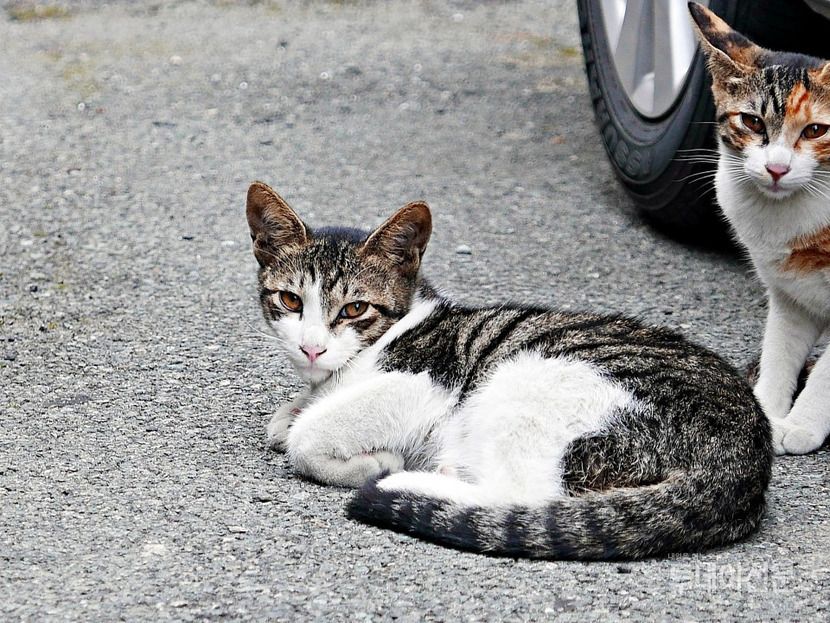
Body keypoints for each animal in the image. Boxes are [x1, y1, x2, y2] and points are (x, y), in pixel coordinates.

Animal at [246, 180, 771, 560]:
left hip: (529, 381)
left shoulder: (422, 382)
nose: (312, 348)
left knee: (523, 495)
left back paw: (417, 482)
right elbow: (288, 420)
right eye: (290, 300)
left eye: (354, 309)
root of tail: (743, 463)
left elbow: (305, 438)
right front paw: (295, 411)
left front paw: (368, 459)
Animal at [690, 3, 830, 455]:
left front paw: (801, 424)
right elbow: (778, 350)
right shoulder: (792, 293)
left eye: (816, 130)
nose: (776, 168)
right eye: (751, 122)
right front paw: (765, 411)